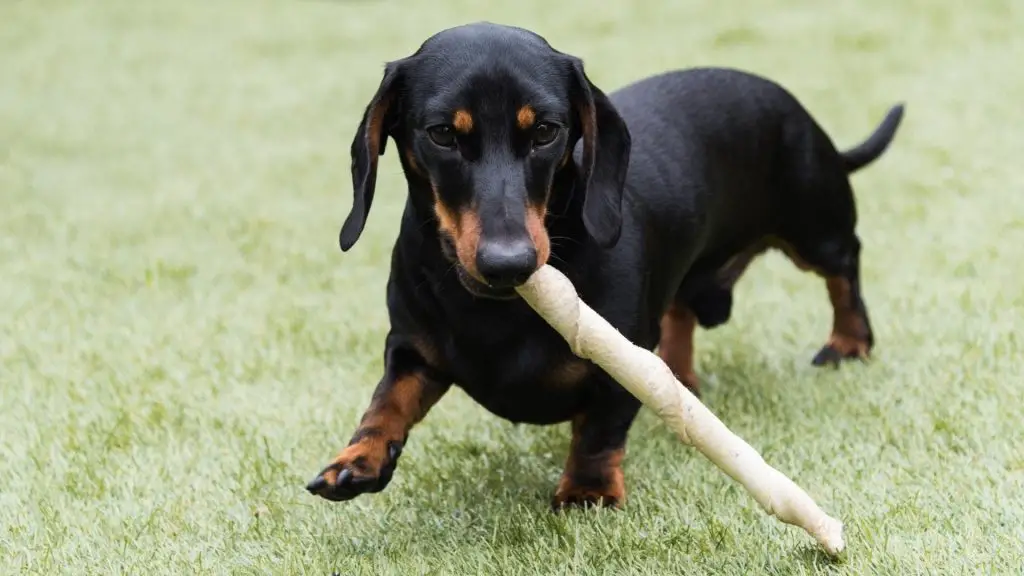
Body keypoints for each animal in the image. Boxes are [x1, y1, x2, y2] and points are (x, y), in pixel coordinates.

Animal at [303, 22, 905, 506]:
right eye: (443, 133)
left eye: (546, 131)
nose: (508, 264)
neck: (495, 310)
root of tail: (793, 106)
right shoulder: (413, 348)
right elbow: (388, 399)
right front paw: (357, 458)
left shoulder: (620, 362)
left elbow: (600, 430)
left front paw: (587, 490)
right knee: (681, 313)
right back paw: (681, 376)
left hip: (814, 227)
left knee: (844, 269)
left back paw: (848, 341)